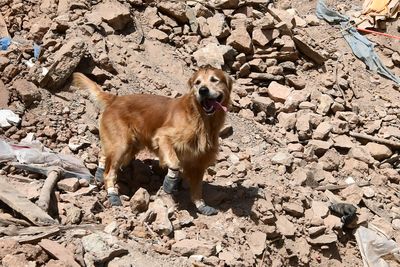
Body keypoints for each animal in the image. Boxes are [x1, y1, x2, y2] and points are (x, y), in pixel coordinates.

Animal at [73, 67, 233, 216]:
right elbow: (175, 162)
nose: (203, 90)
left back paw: (99, 172)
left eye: (214, 80)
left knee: (105, 154)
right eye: (197, 83)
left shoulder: (199, 163)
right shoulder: (162, 136)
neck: (201, 119)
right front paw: (170, 181)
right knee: (110, 172)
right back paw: (113, 195)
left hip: (130, 145)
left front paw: (201, 205)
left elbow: (197, 189)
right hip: (122, 144)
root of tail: (115, 99)